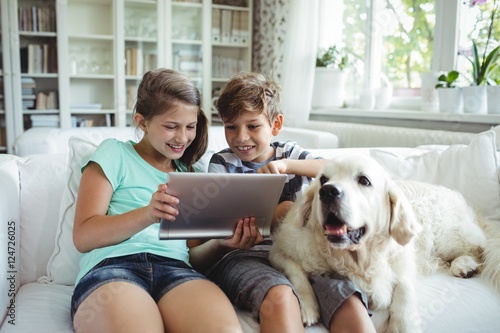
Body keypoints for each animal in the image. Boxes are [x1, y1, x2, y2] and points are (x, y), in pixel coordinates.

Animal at [272, 154, 498, 330]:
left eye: (364, 180)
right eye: (323, 179)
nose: (327, 191)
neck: (358, 259)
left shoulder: (404, 261)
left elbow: (404, 288)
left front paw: (403, 325)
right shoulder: (280, 251)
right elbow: (298, 275)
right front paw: (309, 307)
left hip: (449, 236)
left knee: (480, 248)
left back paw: (464, 264)